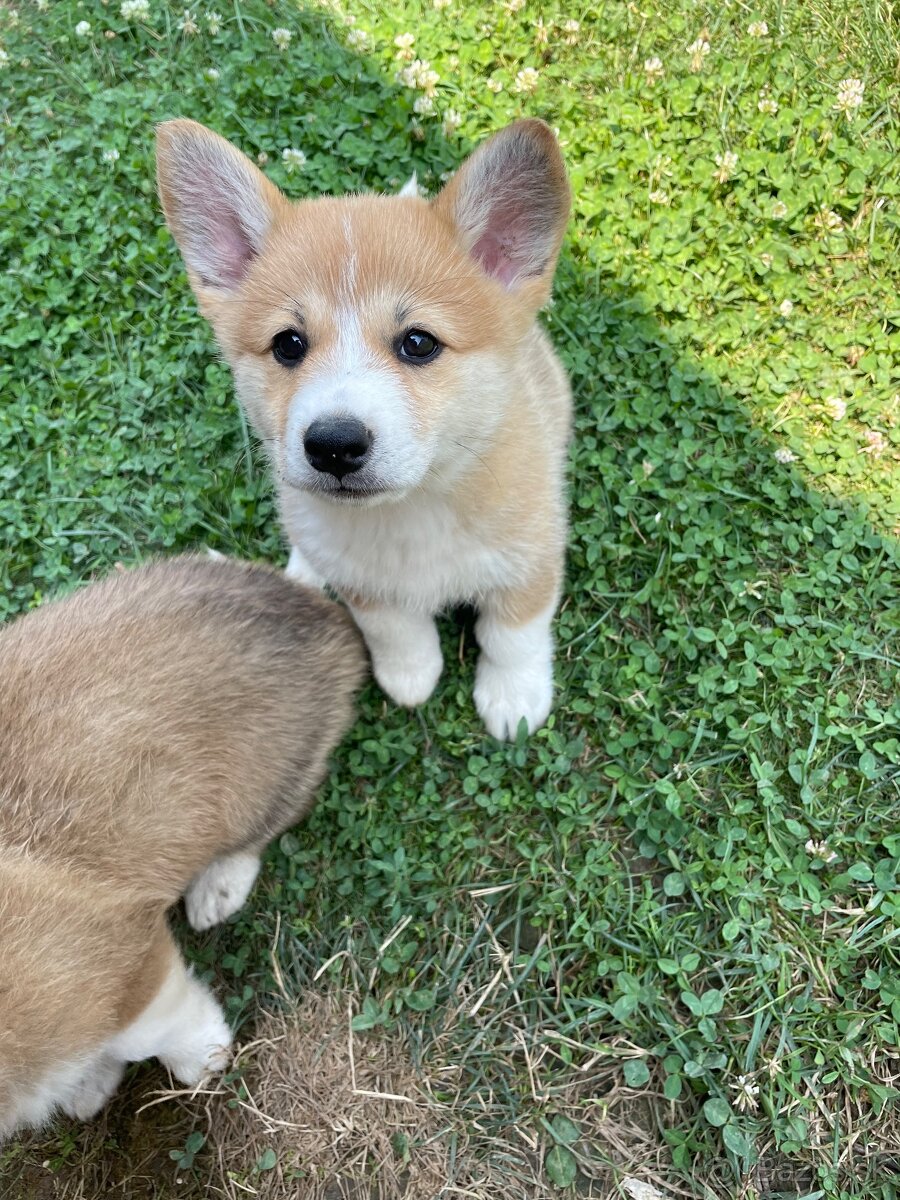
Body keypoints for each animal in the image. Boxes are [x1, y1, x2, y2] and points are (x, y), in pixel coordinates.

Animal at [0, 556, 367, 1137]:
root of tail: (313, 608)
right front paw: (86, 1088)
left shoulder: (126, 957)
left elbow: (149, 1030)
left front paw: (204, 1059)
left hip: (253, 787)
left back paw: (216, 890)